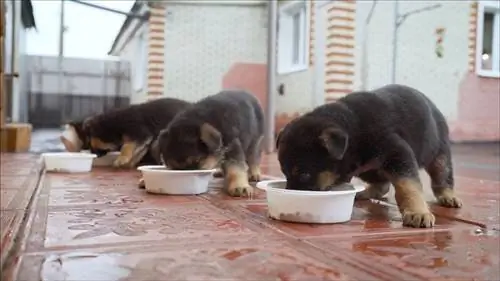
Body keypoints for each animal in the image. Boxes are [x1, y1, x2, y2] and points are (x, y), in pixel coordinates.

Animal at [276, 83, 462, 228]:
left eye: (304, 175)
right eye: (284, 173)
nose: (289, 194)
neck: (353, 128)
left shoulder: (398, 154)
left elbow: (408, 186)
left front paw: (418, 212)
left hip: (439, 153)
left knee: (442, 176)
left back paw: (448, 196)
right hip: (368, 169)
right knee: (382, 184)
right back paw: (364, 192)